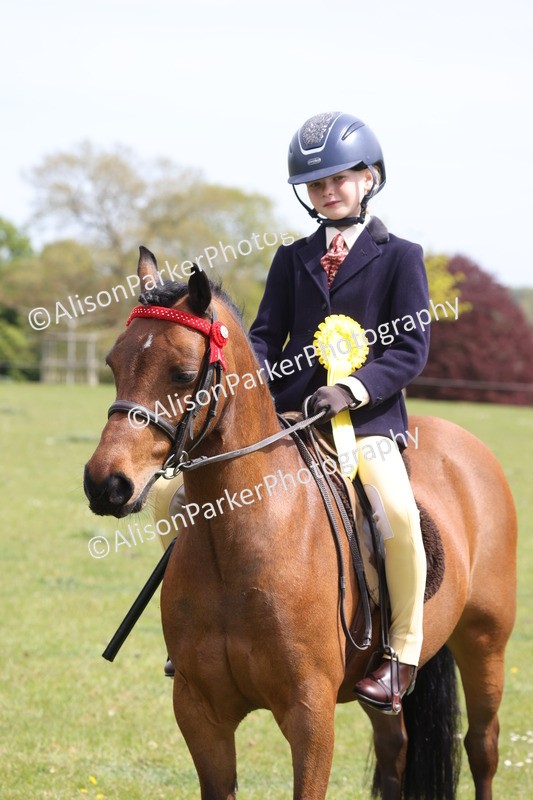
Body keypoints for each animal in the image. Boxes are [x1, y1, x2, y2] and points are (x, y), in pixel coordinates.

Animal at [84, 247, 517, 800]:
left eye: (182, 374)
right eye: (113, 364)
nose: (105, 484)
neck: (240, 542)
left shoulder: (310, 717)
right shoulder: (200, 713)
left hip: (485, 641)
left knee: (482, 747)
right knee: (394, 747)